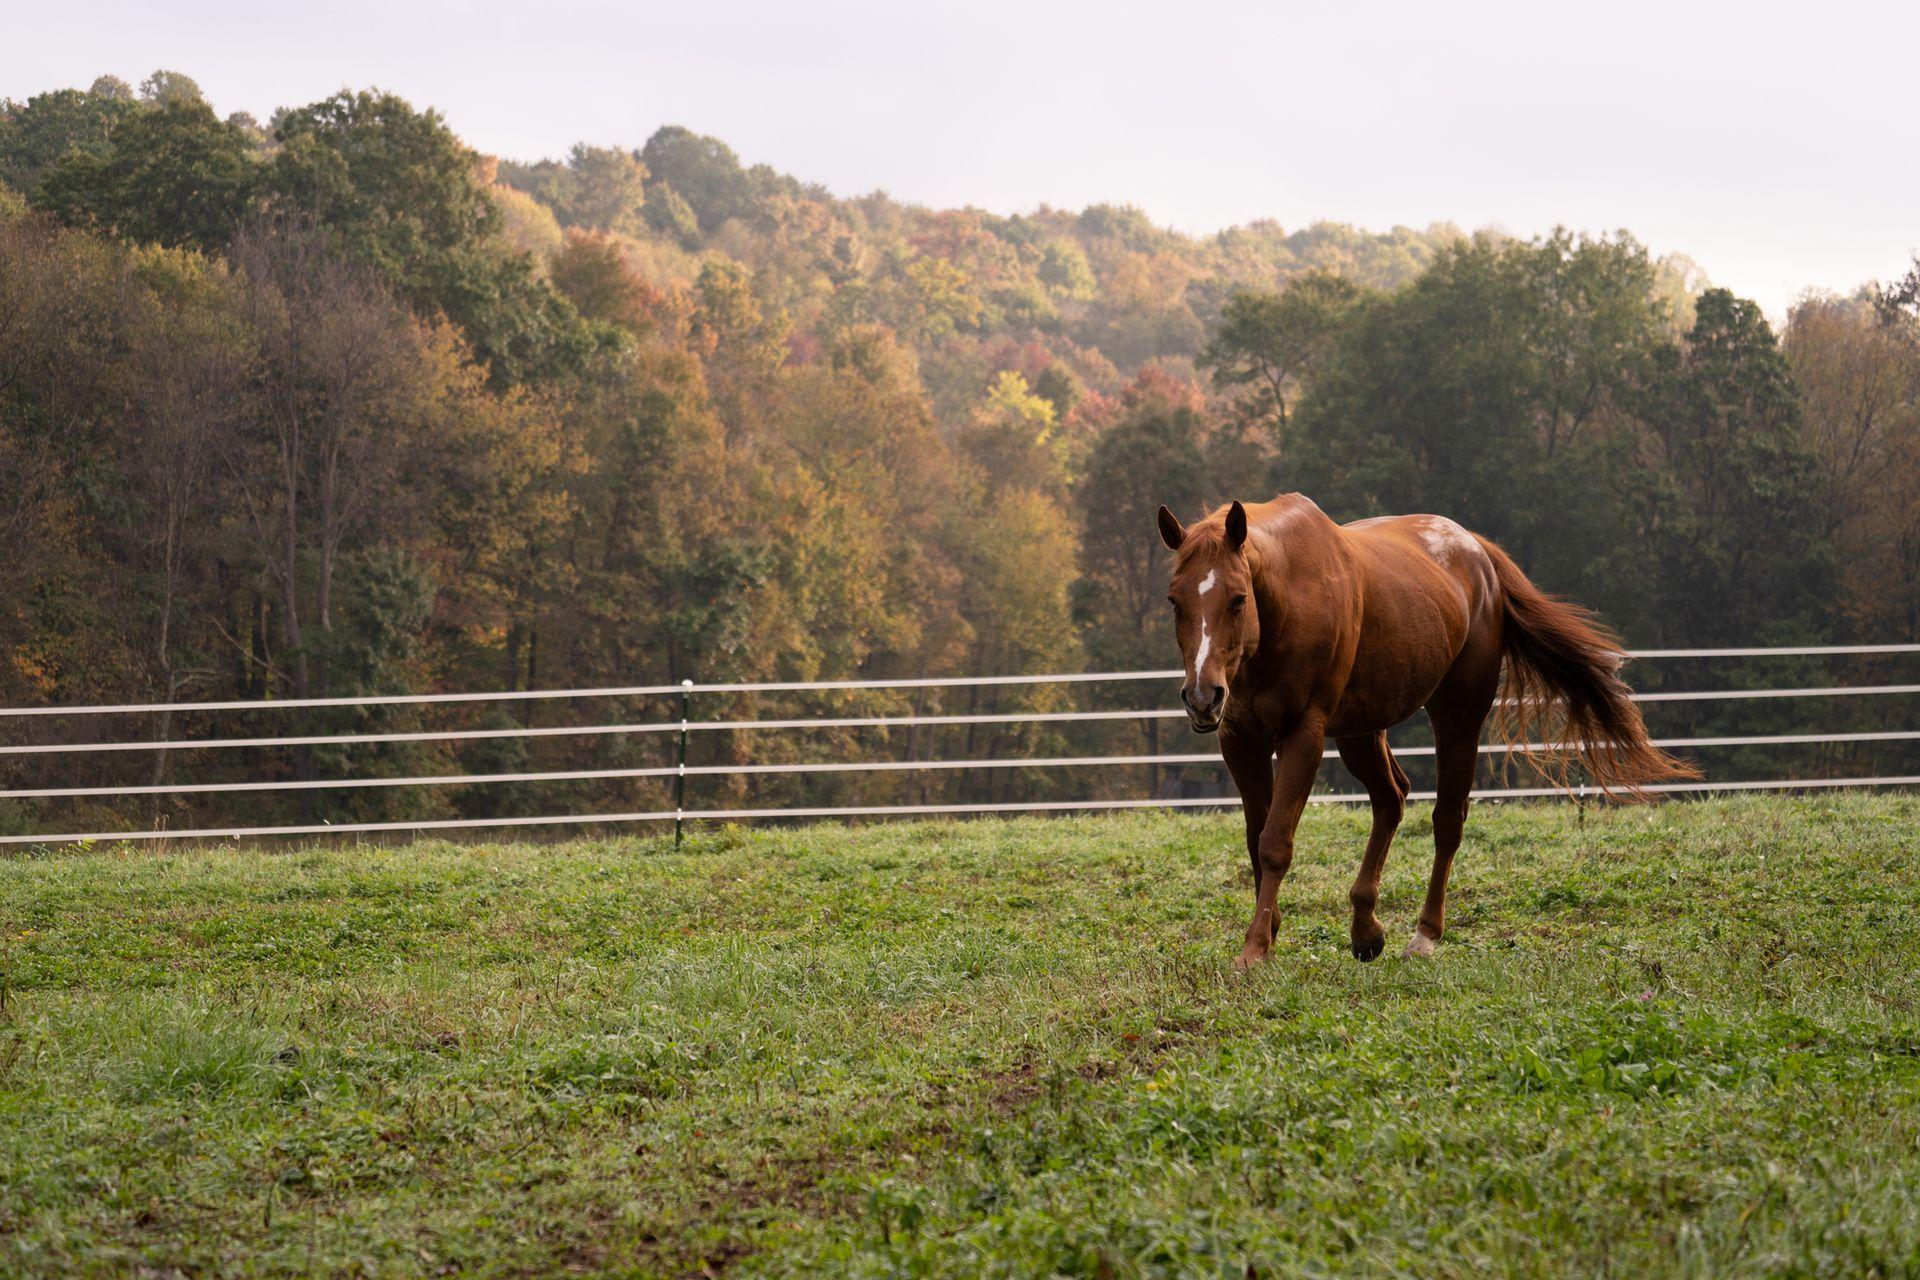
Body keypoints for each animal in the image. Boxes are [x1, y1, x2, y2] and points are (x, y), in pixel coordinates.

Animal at [1156, 494, 1697, 967]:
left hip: (1457, 716)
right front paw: (1269, 932)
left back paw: (1424, 935)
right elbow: (1255, 840)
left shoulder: (1304, 737)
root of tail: (1477, 551)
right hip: (1360, 732)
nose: (1203, 696)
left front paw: (1254, 950)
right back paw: (1366, 930)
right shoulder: (1238, 740)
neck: (1286, 601)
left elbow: (1274, 844)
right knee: (1392, 797)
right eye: (1174, 601)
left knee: (1447, 819)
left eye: (1237, 599)